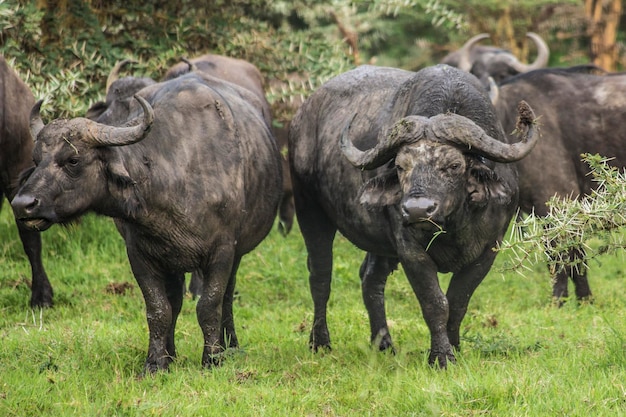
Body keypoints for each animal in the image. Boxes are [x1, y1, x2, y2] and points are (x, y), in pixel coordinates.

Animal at [11, 73, 280, 372]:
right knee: (175, 301)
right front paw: (155, 362)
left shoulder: (222, 252)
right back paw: (171, 353)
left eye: (73, 159)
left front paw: (212, 359)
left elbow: (210, 305)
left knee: (227, 297)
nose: (22, 204)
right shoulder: (140, 255)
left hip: (235, 254)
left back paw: (230, 346)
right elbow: (158, 309)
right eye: (36, 159)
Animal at [288, 63, 536, 366]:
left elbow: (458, 301)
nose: (418, 209)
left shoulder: (489, 249)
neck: (453, 224)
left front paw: (455, 347)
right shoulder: (410, 251)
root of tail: (303, 116)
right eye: (401, 166)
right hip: (309, 209)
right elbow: (435, 303)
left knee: (371, 278)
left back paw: (383, 344)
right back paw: (320, 342)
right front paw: (441, 357)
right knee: (320, 276)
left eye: (454, 165)